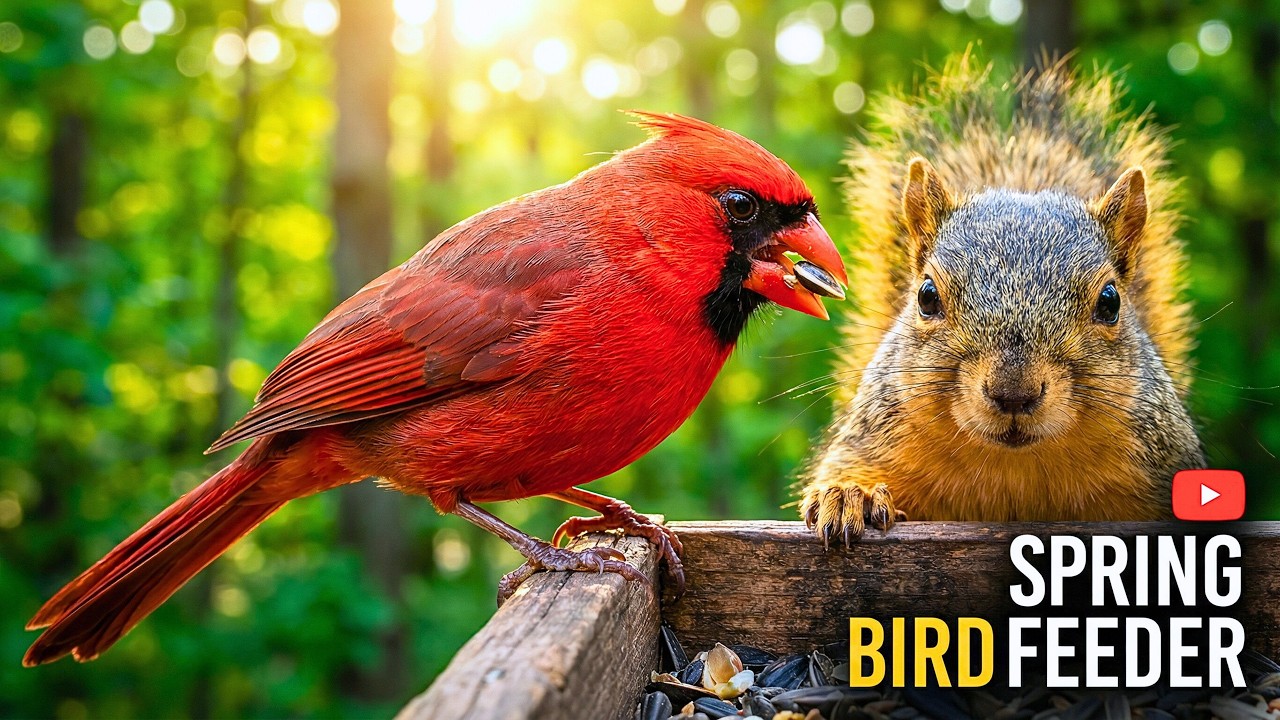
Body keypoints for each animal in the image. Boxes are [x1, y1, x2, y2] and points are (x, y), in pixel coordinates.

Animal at [798, 54, 1206, 545]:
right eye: (926, 296)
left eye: (1110, 302)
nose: (1014, 393)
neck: (1015, 468)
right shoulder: (871, 436)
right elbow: (845, 467)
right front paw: (849, 496)